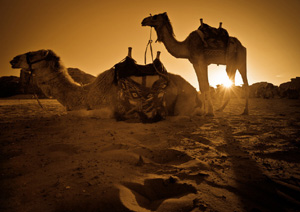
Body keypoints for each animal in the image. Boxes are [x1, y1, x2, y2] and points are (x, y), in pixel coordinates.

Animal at [10, 49, 202, 118]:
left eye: (34, 54)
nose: (13, 59)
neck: (86, 95)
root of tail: (195, 91)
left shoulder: (107, 109)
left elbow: (78, 114)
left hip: (183, 103)